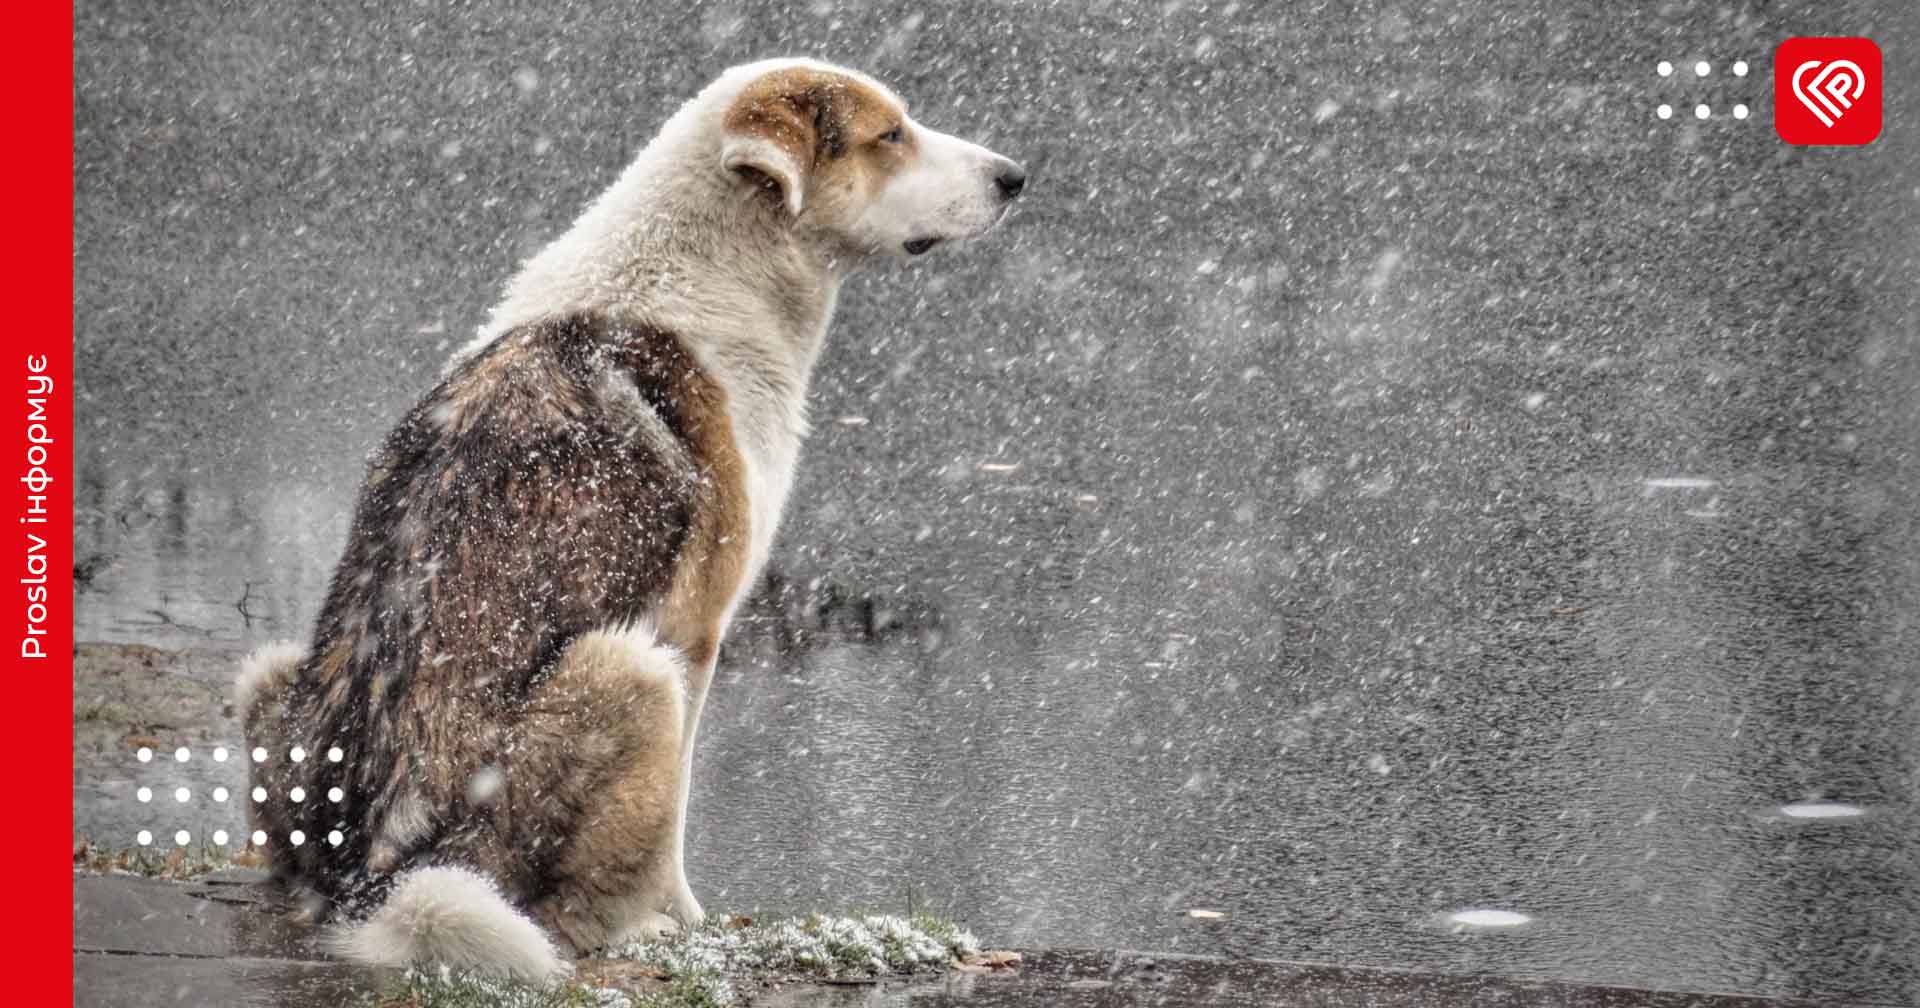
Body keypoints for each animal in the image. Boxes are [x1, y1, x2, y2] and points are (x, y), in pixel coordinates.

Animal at [234, 59, 1029, 979]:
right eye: (890, 135)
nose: (1015, 177)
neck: (703, 270)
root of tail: (374, 877)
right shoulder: (697, 633)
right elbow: (676, 819)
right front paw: (686, 920)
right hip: (633, 669)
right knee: (562, 910)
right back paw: (630, 929)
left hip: (270, 669)